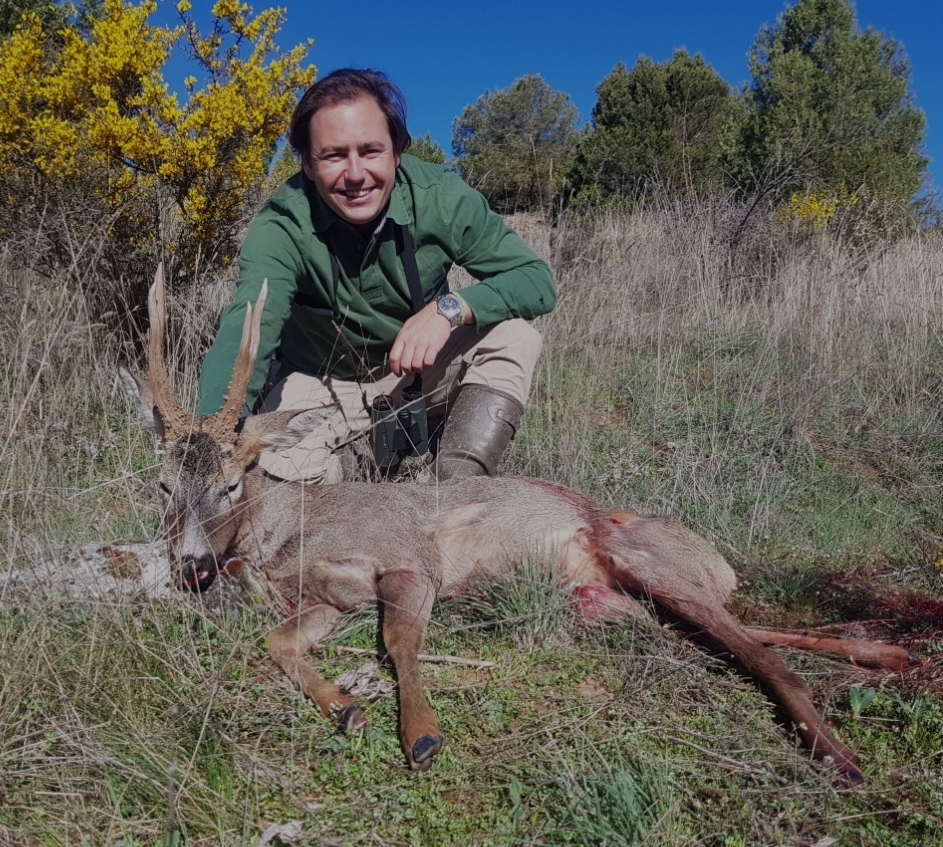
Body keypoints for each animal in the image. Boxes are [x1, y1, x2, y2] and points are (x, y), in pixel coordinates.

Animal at [120, 267, 915, 782]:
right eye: (162, 484)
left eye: (229, 482)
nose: (189, 564)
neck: (287, 531)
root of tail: (719, 562)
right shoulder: (324, 594)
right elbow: (277, 639)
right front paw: (344, 707)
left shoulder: (407, 559)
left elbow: (400, 641)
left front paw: (420, 734)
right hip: (612, 602)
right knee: (739, 632)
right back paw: (886, 654)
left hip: (641, 560)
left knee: (762, 652)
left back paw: (841, 754)